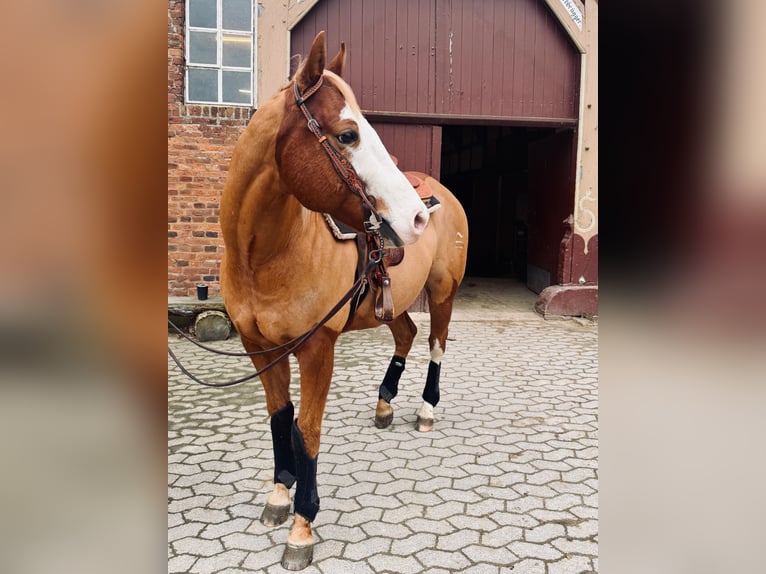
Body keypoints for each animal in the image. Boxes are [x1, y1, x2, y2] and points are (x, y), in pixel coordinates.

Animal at [219, 31, 468, 570]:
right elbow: (280, 419)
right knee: (407, 334)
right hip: (392, 305)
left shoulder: (319, 348)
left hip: (443, 292)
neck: (265, 256)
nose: (415, 219)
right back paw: (384, 403)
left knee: (436, 344)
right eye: (348, 135)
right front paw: (278, 495)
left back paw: (425, 410)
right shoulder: (258, 347)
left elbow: (308, 429)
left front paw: (302, 526)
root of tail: (438, 192)